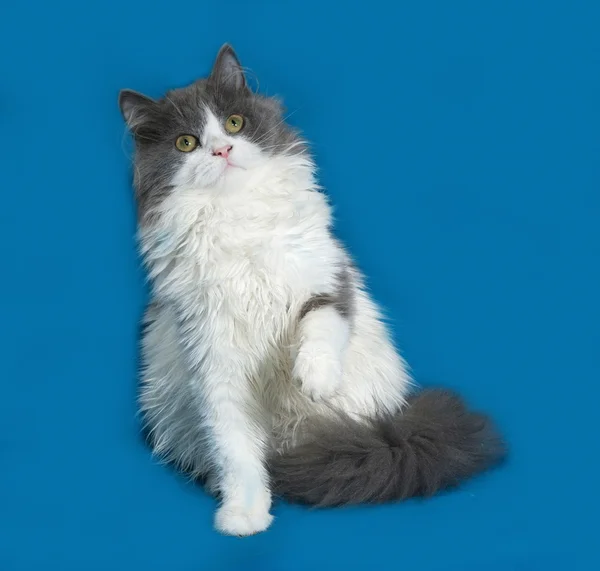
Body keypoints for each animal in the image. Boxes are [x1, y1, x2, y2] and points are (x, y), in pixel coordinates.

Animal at [119, 43, 504, 536]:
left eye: (234, 123)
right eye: (186, 143)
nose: (222, 150)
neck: (236, 217)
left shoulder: (327, 281)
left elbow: (319, 328)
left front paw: (314, 378)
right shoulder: (213, 357)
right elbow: (235, 450)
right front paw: (244, 514)